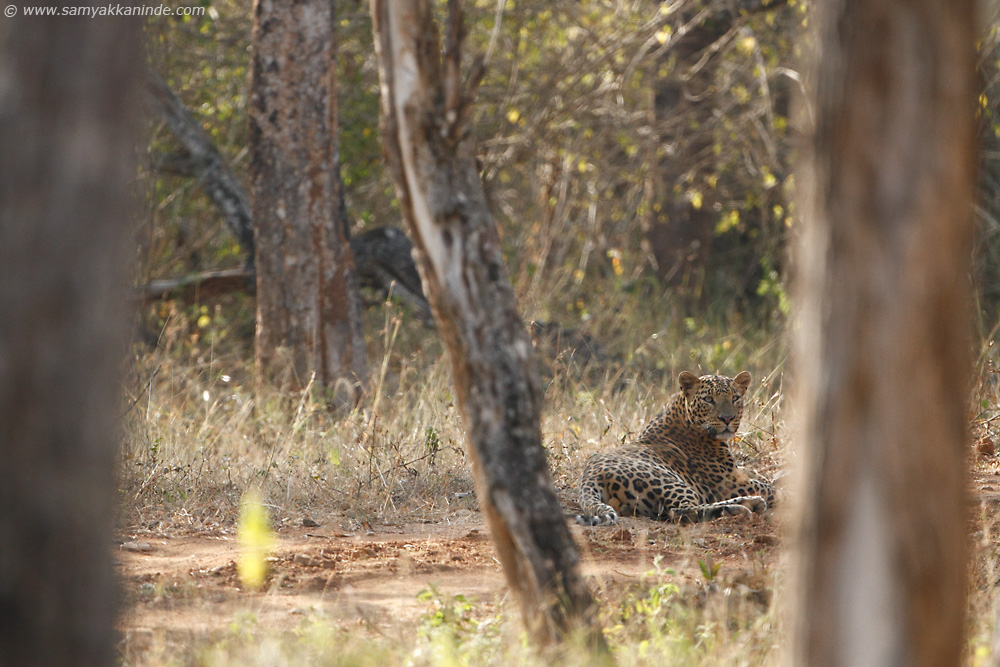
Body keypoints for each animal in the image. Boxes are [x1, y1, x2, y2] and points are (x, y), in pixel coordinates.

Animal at [580, 370, 772, 528]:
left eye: (735, 398)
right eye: (708, 399)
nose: (727, 418)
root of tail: (589, 475)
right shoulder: (731, 483)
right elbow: (770, 488)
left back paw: (750, 503)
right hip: (669, 481)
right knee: (683, 511)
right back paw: (741, 507)